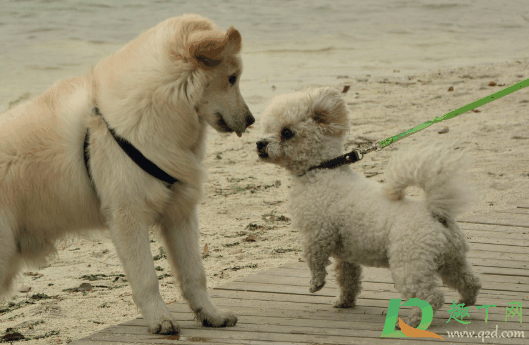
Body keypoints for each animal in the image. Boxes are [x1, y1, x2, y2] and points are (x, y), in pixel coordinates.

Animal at [0, 14, 254, 334]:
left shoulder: (180, 214)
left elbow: (195, 274)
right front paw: (160, 319)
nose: (252, 120)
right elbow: (147, 278)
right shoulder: (128, 217)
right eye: (232, 78)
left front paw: (211, 314)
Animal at [256, 87, 482, 326]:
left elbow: (314, 259)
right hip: (451, 260)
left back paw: (412, 321)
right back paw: (464, 302)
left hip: (409, 264)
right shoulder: (346, 255)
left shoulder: (317, 233)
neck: (322, 170)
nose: (259, 143)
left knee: (431, 297)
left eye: (287, 132)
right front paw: (344, 301)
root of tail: (434, 212)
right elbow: (348, 278)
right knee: (470, 281)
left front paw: (316, 284)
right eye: (269, 129)